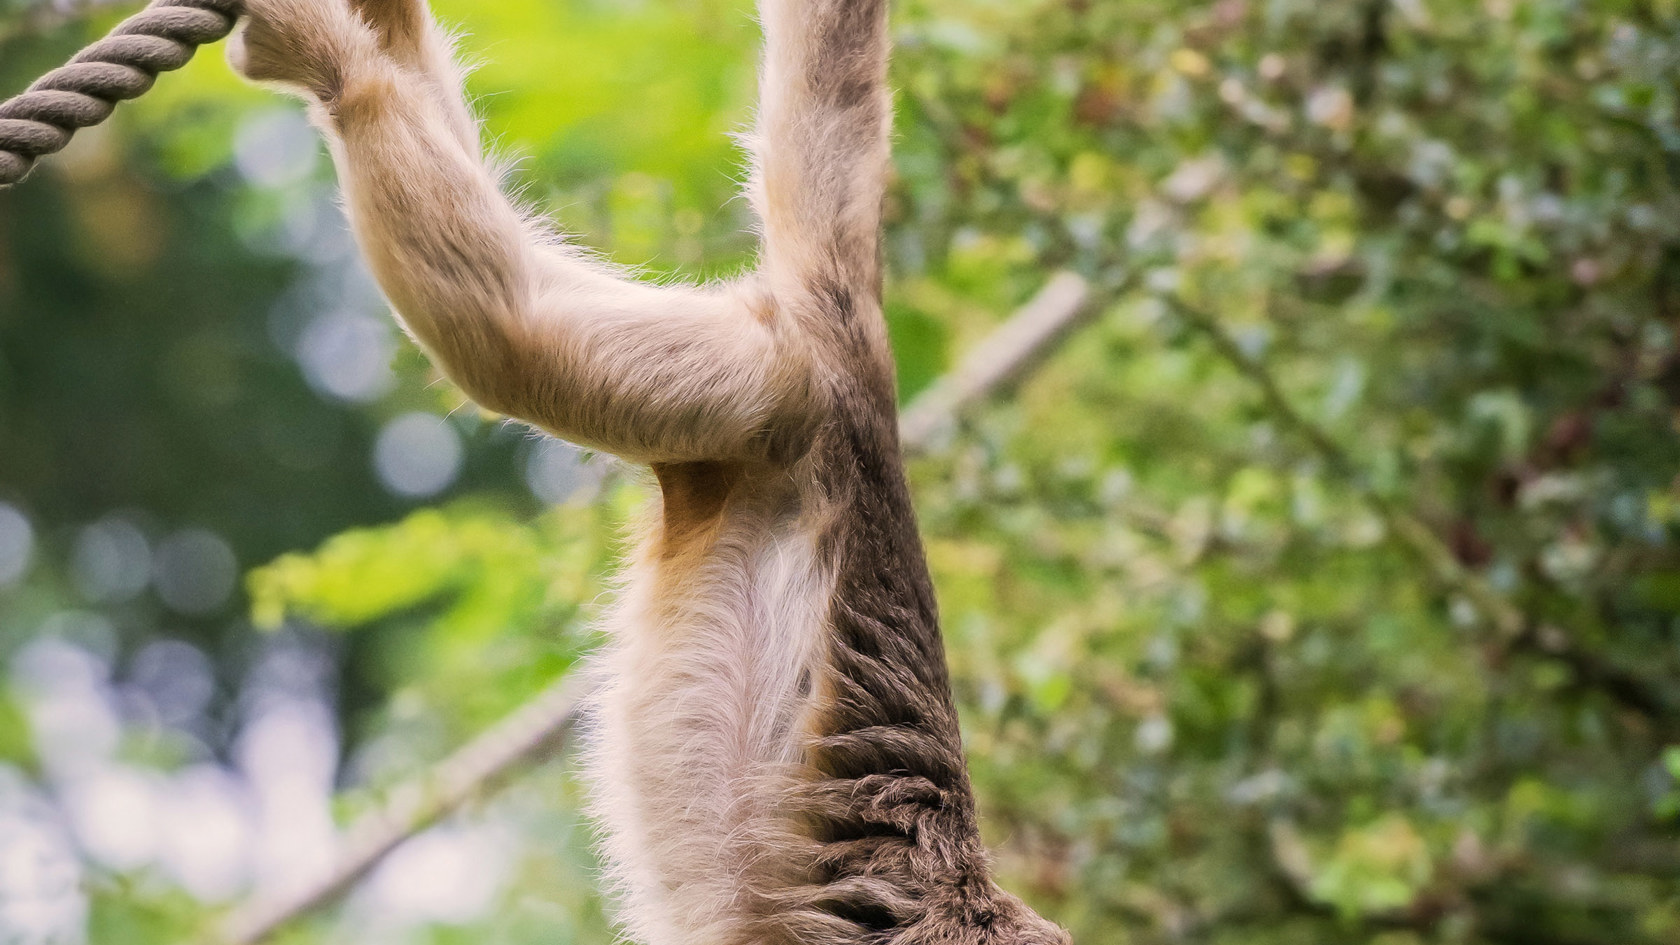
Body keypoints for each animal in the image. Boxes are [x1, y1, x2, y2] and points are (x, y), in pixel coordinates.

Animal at [226, 0, 1072, 942]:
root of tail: (856, 360)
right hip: (765, 388)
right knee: (510, 325)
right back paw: (340, 68)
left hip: (736, 391)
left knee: (513, 313)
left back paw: (388, 35)